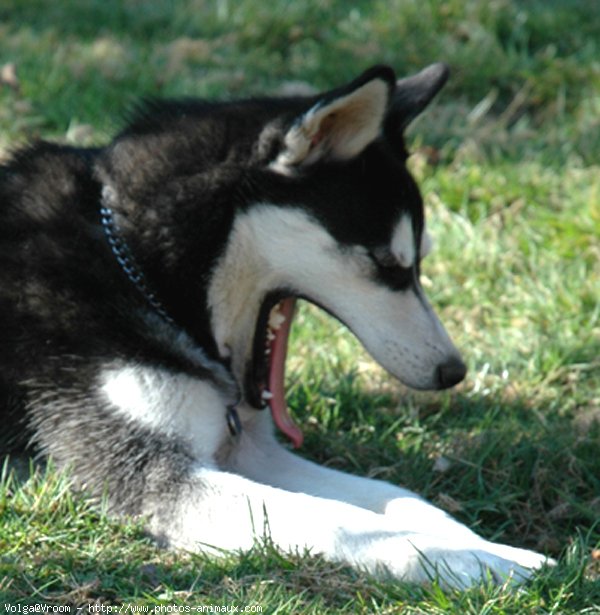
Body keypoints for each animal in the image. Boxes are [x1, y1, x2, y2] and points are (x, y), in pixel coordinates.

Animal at [0, 65, 552, 588]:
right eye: (388, 265)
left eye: (418, 263)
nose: (453, 372)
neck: (137, 267)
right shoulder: (151, 472)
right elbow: (342, 522)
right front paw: (472, 562)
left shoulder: (252, 452)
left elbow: (401, 498)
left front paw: (486, 545)